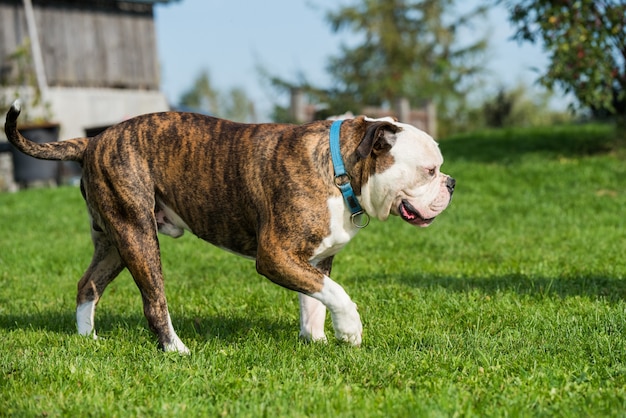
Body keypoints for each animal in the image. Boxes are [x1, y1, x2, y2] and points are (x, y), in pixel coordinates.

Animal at [4, 101, 454, 352]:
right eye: (429, 170)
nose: (451, 183)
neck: (340, 165)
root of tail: (94, 141)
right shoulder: (275, 256)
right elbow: (337, 295)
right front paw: (351, 330)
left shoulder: (315, 259)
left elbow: (314, 300)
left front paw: (318, 341)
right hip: (138, 235)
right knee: (154, 301)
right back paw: (176, 350)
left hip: (114, 240)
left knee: (88, 285)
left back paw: (87, 340)